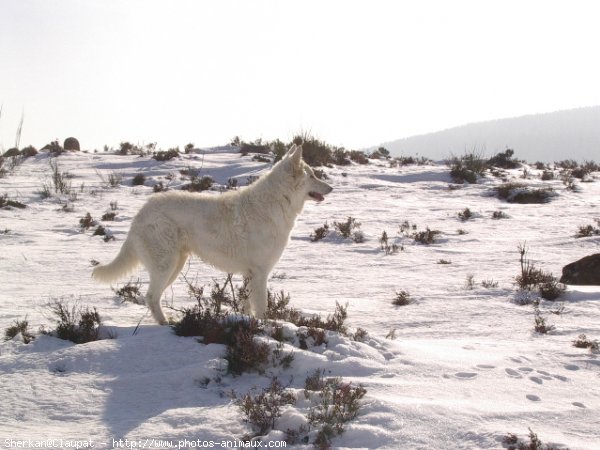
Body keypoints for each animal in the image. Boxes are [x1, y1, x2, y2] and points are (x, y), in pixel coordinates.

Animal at [92, 144, 332, 324]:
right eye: (312, 175)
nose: (331, 188)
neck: (278, 201)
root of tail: (141, 213)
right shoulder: (260, 272)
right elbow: (262, 307)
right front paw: (266, 328)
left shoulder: (249, 274)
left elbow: (247, 305)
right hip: (166, 265)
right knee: (151, 296)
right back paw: (166, 324)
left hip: (175, 266)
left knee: (152, 297)